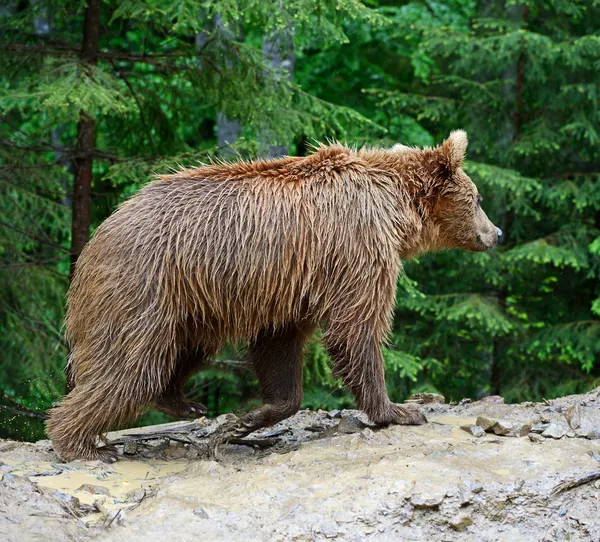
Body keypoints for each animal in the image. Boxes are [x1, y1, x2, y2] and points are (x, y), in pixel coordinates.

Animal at [47, 131, 502, 464]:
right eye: (479, 198)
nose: (497, 233)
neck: (394, 210)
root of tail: (96, 238)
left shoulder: (293, 284)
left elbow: (279, 348)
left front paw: (242, 422)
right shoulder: (356, 248)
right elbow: (355, 330)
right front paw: (399, 410)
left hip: (192, 305)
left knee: (181, 351)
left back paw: (185, 404)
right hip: (143, 288)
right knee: (127, 365)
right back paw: (80, 444)